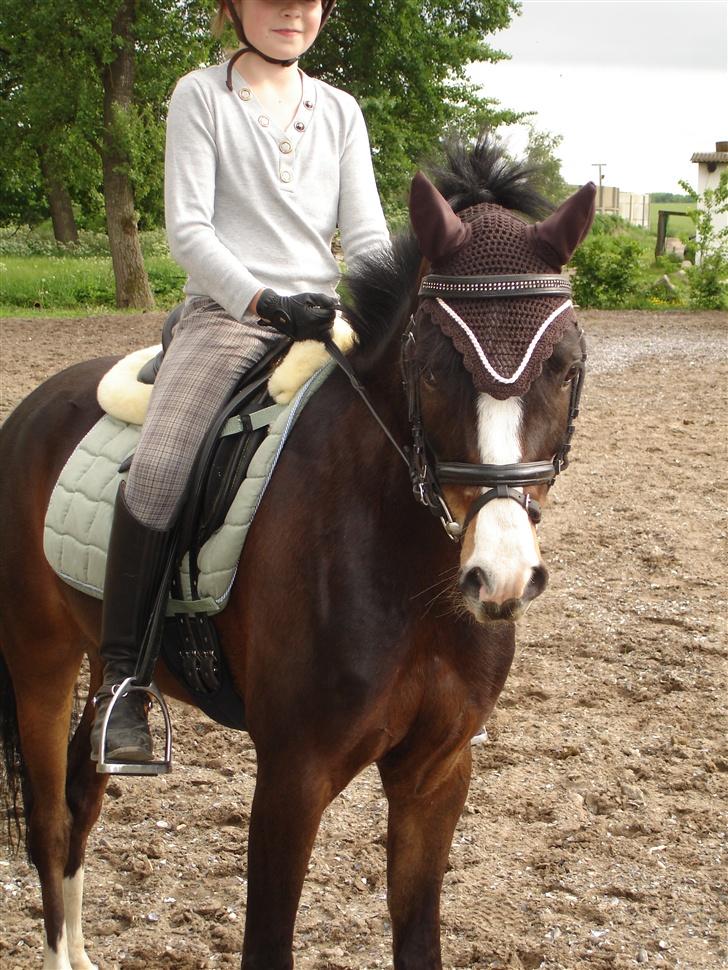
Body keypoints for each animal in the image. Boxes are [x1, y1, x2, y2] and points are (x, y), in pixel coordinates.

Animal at [0, 138, 596, 970]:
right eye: (434, 369)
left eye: (564, 366)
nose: (501, 576)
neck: (409, 578)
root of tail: (33, 407)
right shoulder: (292, 775)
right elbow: (267, 944)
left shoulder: (437, 772)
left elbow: (419, 938)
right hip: (40, 662)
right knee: (51, 823)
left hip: (98, 656)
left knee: (83, 799)